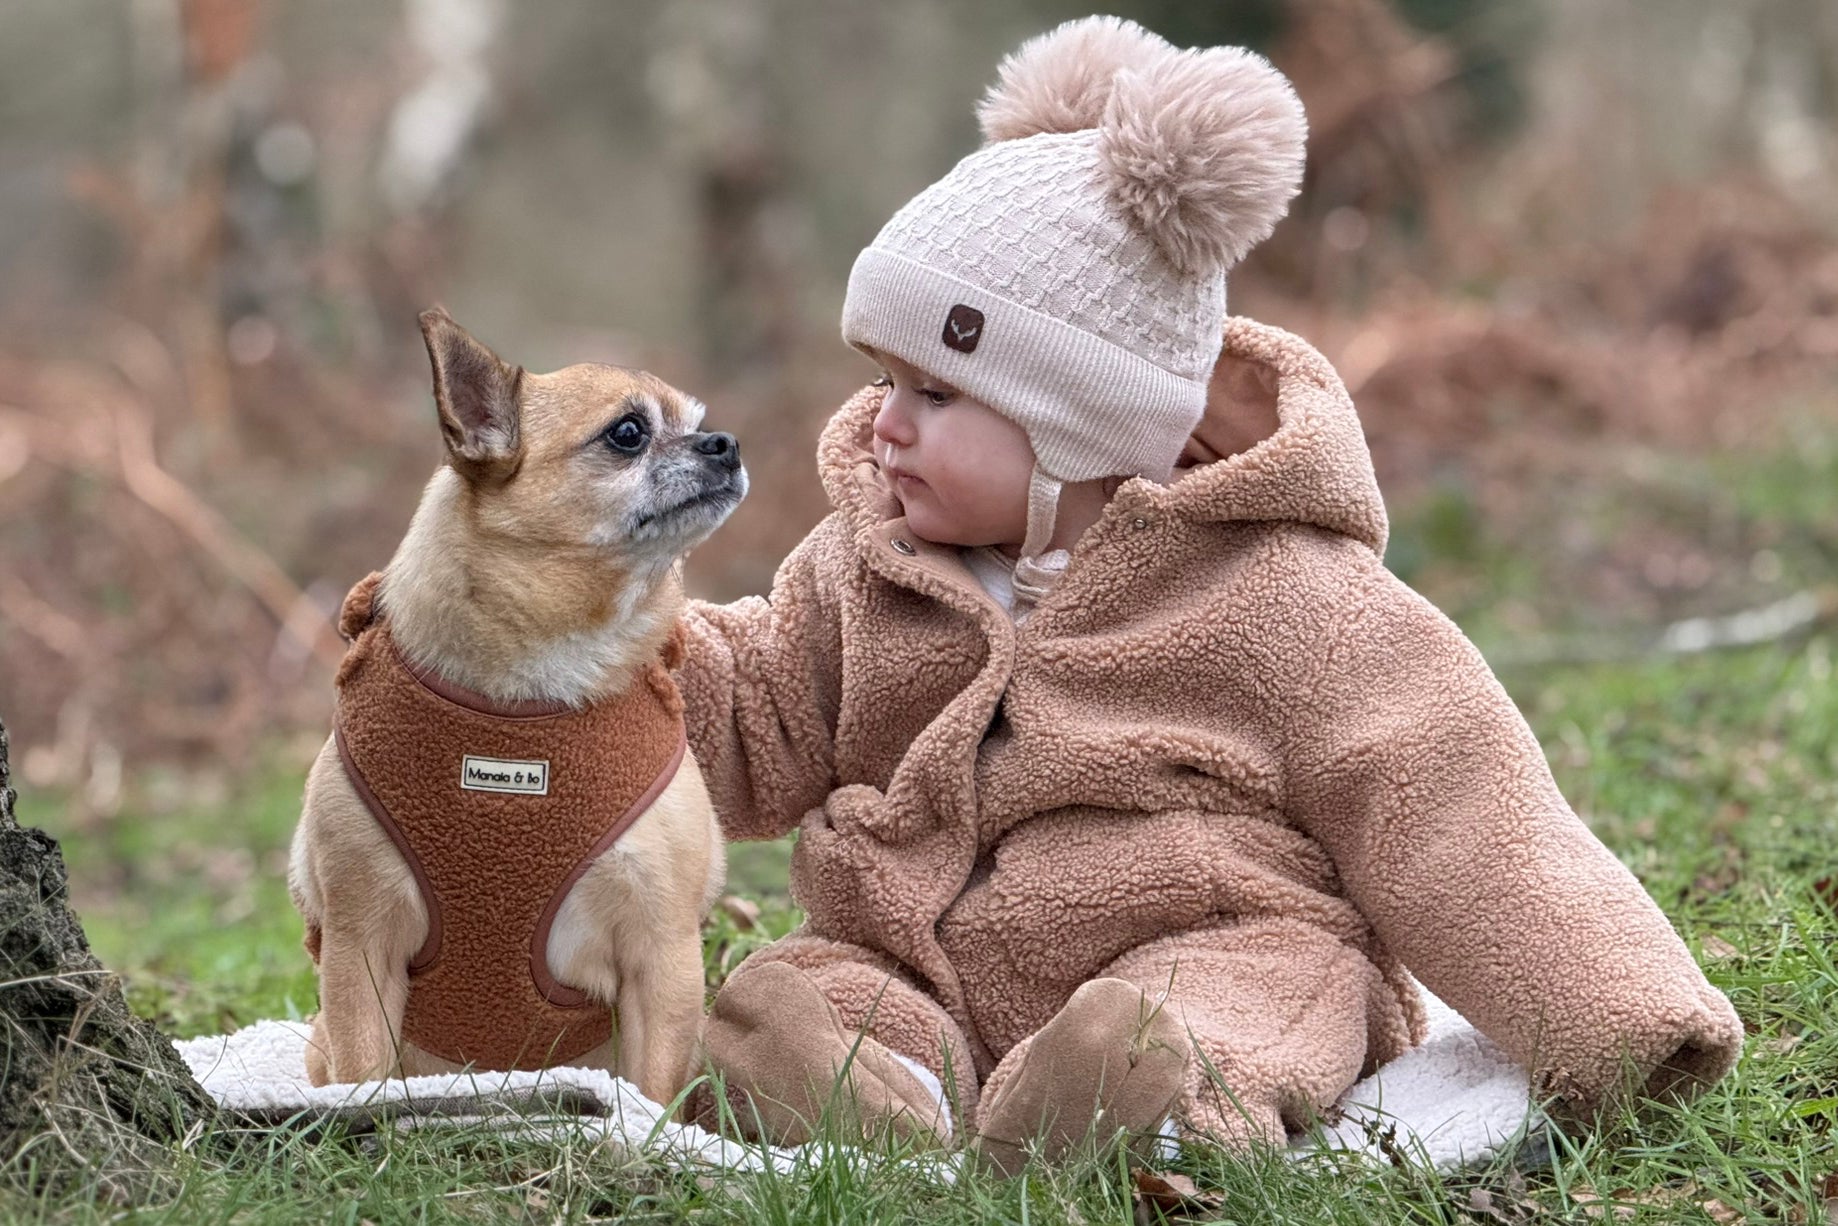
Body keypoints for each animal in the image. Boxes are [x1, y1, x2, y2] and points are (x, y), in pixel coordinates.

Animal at [286, 308, 738, 1110]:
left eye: (698, 423)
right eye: (628, 432)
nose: (727, 443)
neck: (533, 692)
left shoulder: (663, 958)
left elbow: (650, 1100)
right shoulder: (359, 948)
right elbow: (364, 1075)